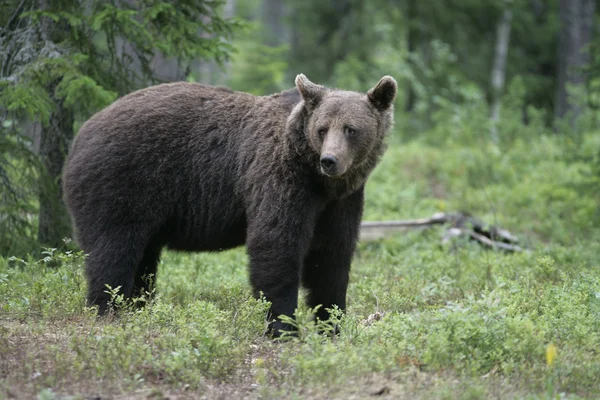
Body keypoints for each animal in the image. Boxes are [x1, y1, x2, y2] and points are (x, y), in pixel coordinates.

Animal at [63, 74, 396, 334]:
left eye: (351, 129)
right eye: (322, 129)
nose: (330, 160)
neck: (318, 181)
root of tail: (80, 136)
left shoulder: (341, 201)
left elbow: (331, 256)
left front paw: (332, 323)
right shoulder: (277, 178)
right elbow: (276, 245)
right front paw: (284, 326)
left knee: (143, 258)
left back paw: (137, 307)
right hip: (122, 182)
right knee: (113, 249)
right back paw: (108, 309)